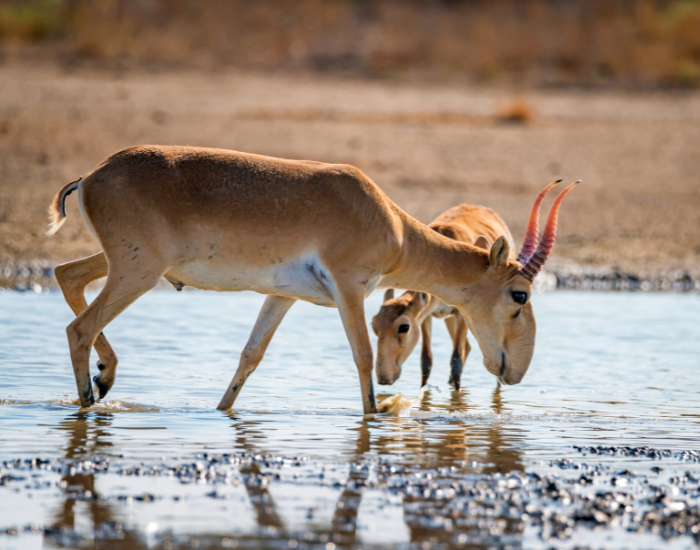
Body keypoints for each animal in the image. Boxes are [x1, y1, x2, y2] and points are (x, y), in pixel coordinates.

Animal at [371, 201, 519, 390]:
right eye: (374, 324)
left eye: (403, 327)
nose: (383, 378)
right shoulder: (427, 315)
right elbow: (426, 360)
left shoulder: (463, 313)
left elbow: (456, 359)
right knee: (468, 347)